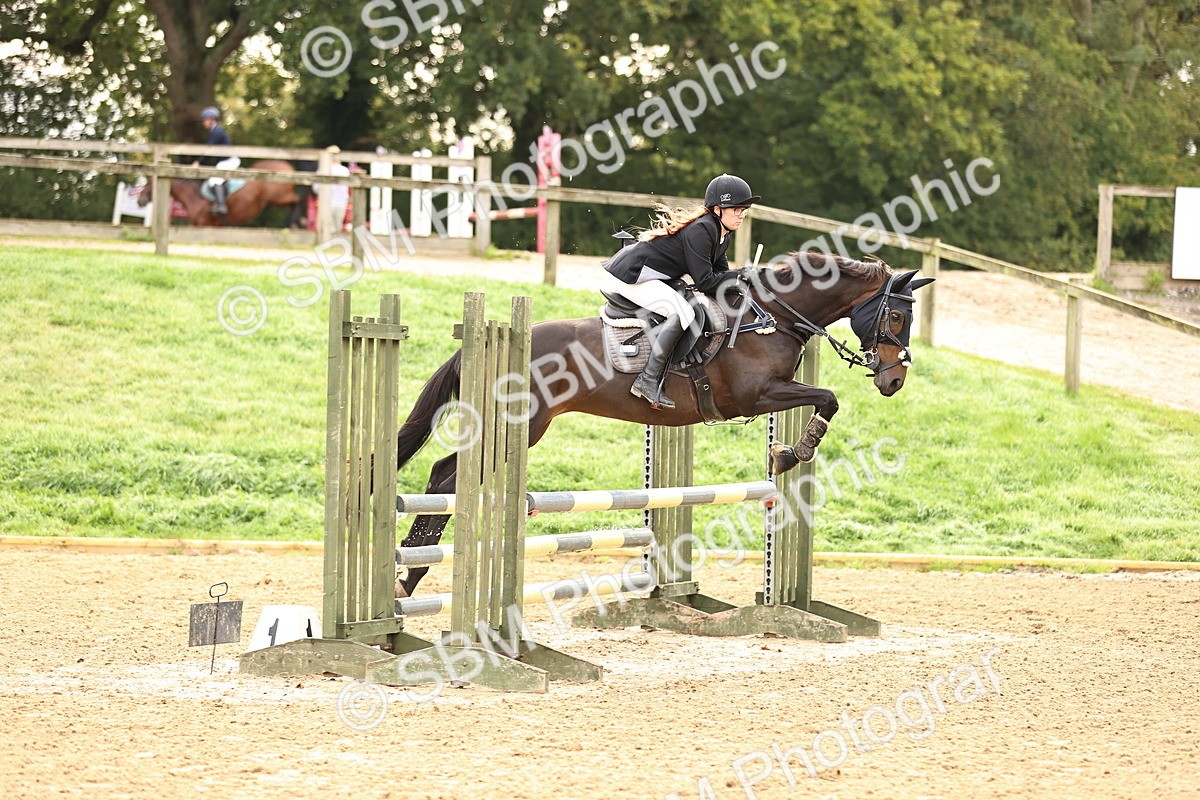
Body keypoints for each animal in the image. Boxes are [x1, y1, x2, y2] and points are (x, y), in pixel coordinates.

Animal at [136, 160, 301, 227]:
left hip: (278, 197)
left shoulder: (205, 224)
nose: (140, 200)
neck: (193, 196)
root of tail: (286, 167)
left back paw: (294, 223)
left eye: (149, 183)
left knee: (296, 200)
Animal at [393, 252, 933, 597]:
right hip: (518, 426)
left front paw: (782, 453)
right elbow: (829, 399)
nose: (895, 380)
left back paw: (410, 573)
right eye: (897, 317)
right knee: (446, 479)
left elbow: (823, 400)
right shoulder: (755, 395)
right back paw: (408, 575)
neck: (771, 316)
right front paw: (791, 453)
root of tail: (483, 343)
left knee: (443, 475)